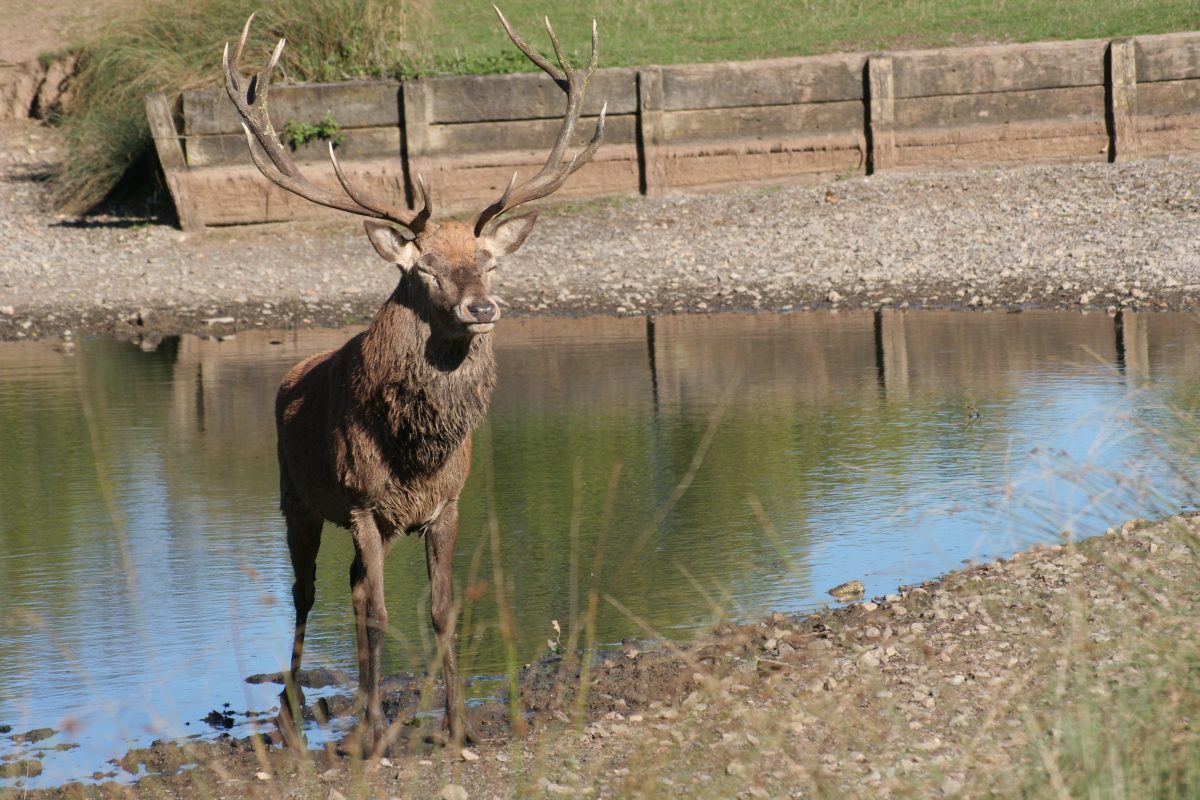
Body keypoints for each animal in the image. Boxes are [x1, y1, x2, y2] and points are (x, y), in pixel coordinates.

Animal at [222, 8, 604, 752]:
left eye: (488, 261)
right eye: (423, 268)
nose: (482, 307)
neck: (414, 449)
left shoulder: (443, 504)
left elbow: (440, 609)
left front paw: (457, 725)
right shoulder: (362, 503)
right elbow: (377, 615)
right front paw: (371, 737)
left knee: (351, 588)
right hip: (295, 498)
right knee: (310, 595)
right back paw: (294, 714)